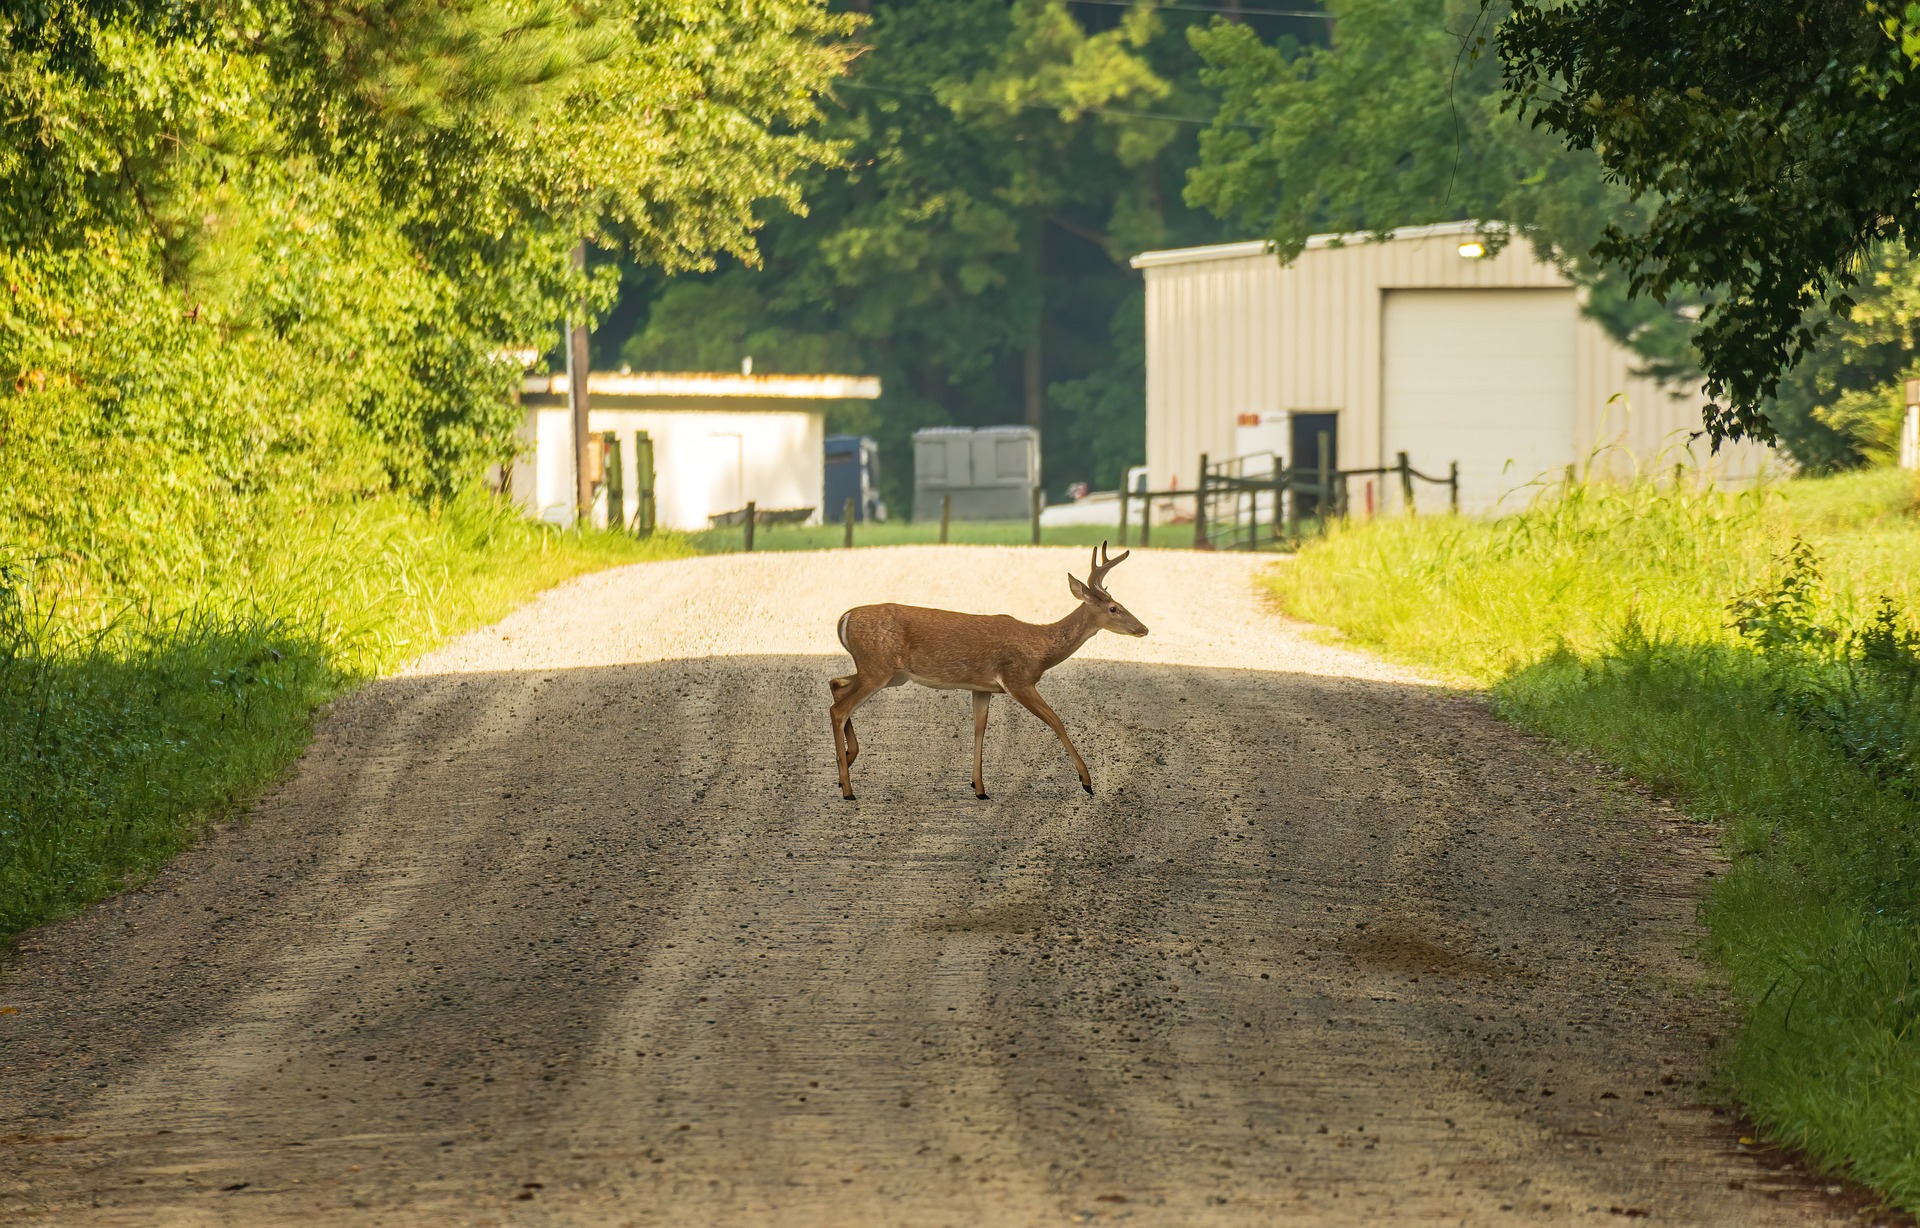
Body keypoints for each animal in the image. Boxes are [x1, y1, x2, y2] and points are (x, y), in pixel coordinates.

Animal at [821, 541, 1136, 802]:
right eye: (1114, 608)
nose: (1142, 628)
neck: (1041, 648)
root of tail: (843, 619)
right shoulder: (1018, 679)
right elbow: (1056, 720)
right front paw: (1087, 782)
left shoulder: (982, 687)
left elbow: (979, 729)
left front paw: (980, 788)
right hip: (877, 669)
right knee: (839, 708)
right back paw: (847, 788)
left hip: (887, 674)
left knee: (836, 685)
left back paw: (844, 763)